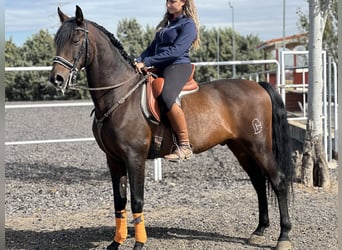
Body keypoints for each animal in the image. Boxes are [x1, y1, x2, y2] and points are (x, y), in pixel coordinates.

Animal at [48, 5, 294, 250]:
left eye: (76, 40)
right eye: (57, 41)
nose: (56, 79)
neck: (119, 95)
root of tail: (258, 85)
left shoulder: (134, 157)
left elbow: (137, 200)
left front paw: (139, 243)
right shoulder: (114, 159)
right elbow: (119, 200)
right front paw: (116, 243)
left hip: (259, 147)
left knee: (278, 182)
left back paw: (283, 236)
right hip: (241, 147)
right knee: (258, 182)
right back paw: (259, 230)